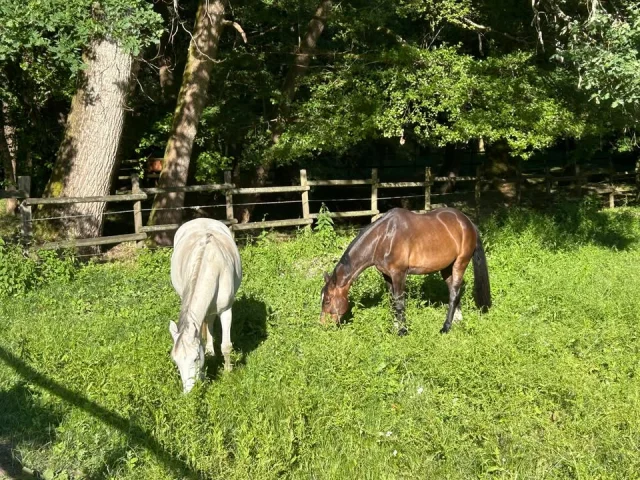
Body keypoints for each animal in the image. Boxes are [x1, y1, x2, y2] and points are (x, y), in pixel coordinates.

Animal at [169, 218, 242, 393]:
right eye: (175, 361)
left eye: (196, 358)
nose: (189, 393)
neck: (209, 263)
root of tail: (201, 219)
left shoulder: (226, 310)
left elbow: (226, 345)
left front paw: (228, 374)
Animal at [320, 207, 491, 334]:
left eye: (327, 300)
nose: (322, 324)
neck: (383, 238)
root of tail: (467, 222)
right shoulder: (387, 275)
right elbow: (392, 301)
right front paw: (395, 327)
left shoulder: (399, 274)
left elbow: (399, 301)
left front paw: (403, 331)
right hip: (447, 268)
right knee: (453, 291)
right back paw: (457, 320)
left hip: (460, 263)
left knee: (454, 292)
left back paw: (446, 327)